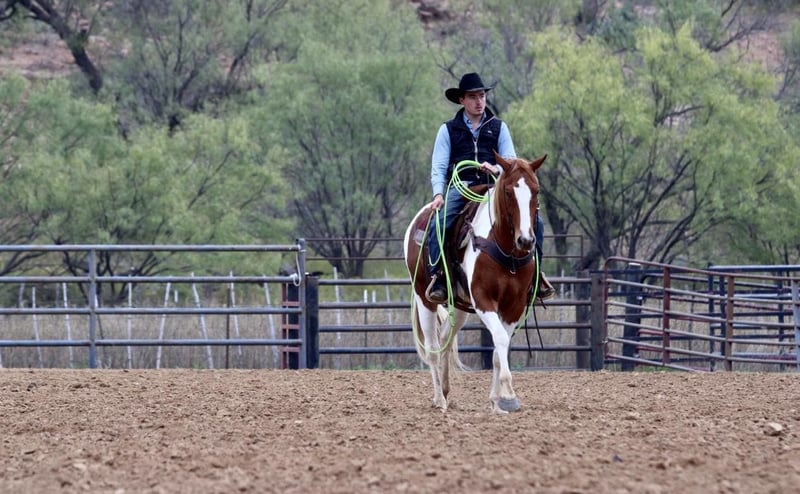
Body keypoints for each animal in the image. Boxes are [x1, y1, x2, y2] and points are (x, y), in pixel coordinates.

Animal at [403, 152, 547, 413]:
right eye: (508, 191)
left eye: (536, 190)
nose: (525, 241)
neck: (505, 250)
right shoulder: (483, 300)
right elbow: (499, 338)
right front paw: (509, 396)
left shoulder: (514, 306)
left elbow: (499, 351)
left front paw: (497, 401)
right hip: (423, 298)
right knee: (432, 348)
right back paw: (439, 400)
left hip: (459, 304)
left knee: (445, 339)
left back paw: (446, 391)